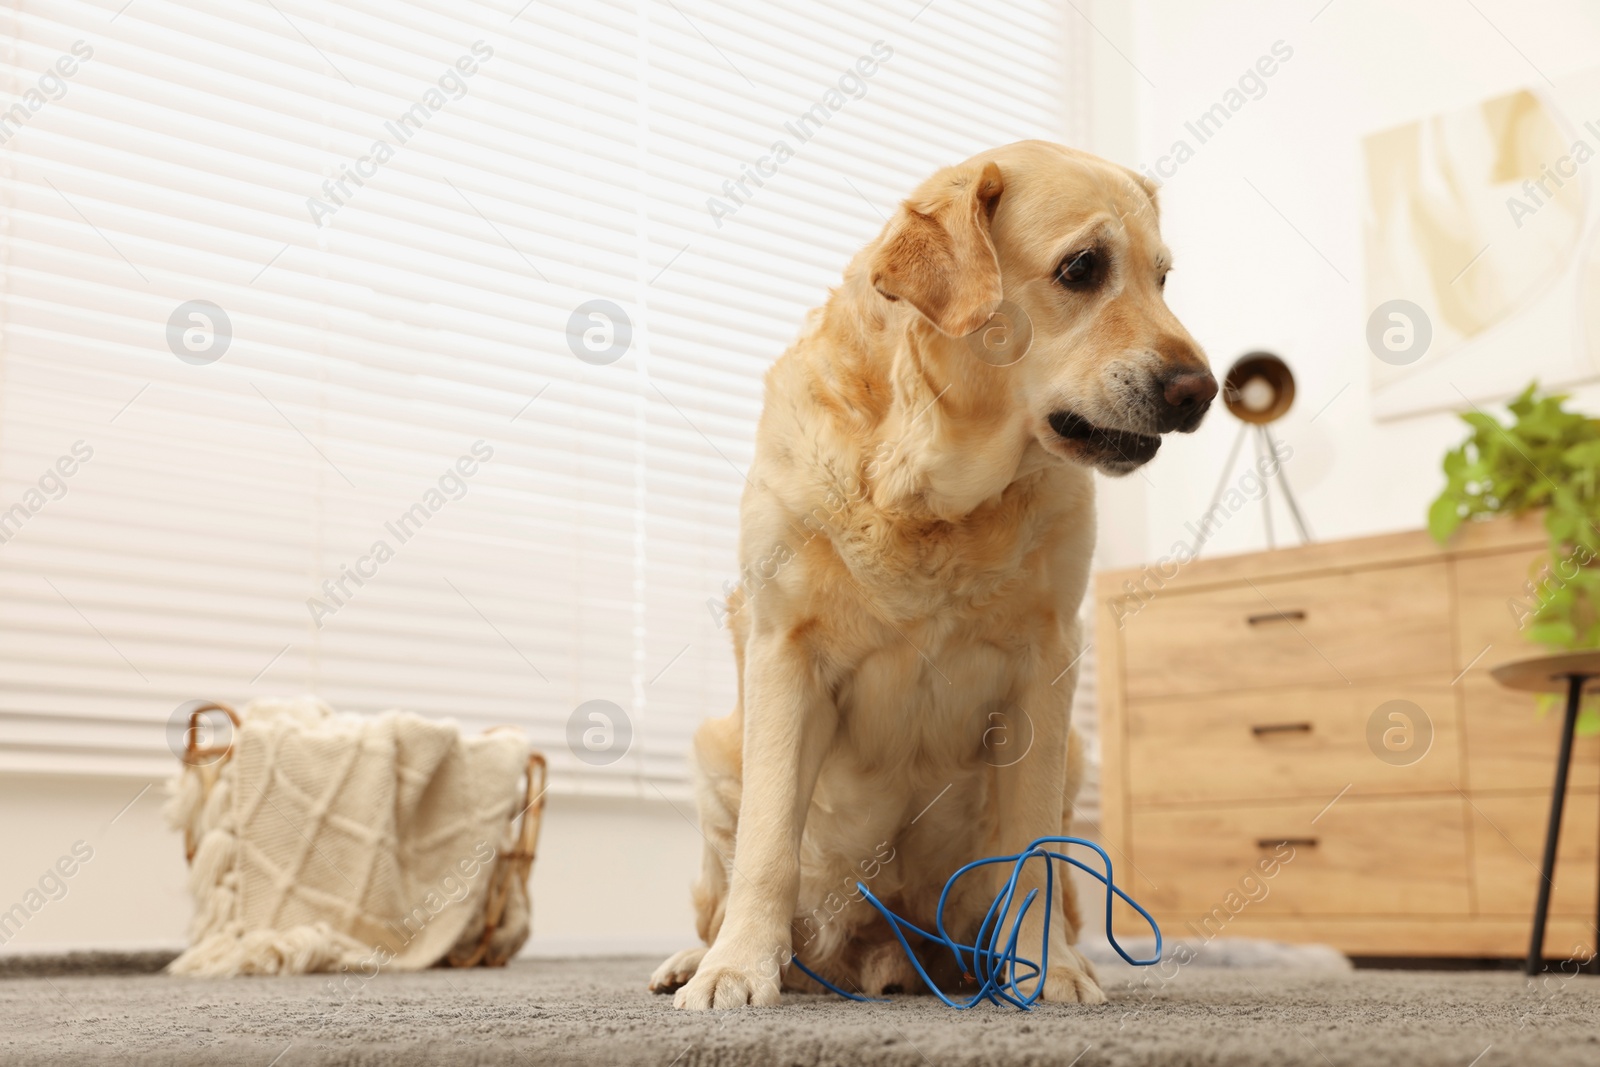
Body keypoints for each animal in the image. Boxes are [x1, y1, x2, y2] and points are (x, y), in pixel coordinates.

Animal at [649, 139, 1209, 1011]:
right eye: (1082, 267)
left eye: (1163, 278)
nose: (1203, 391)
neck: (931, 489)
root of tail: (884, 954)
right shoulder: (785, 650)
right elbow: (768, 846)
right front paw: (736, 968)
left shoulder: (1045, 665)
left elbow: (1034, 850)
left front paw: (1049, 968)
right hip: (715, 752)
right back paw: (697, 956)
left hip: (1075, 754)